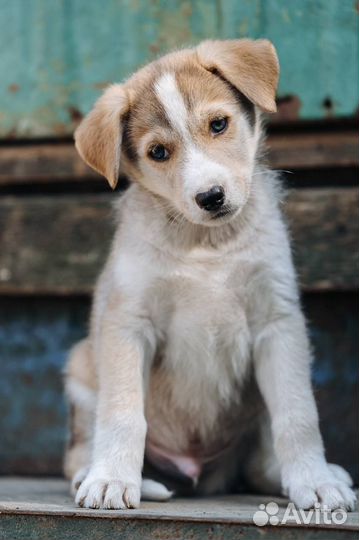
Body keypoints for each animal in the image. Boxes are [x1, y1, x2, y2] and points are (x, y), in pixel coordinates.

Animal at [63, 39, 356, 510]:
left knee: (258, 464)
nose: (211, 196)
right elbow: (124, 412)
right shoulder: (128, 323)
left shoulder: (278, 322)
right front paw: (111, 479)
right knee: (76, 456)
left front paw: (314, 481)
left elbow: (298, 414)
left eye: (218, 124)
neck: (207, 244)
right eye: (158, 152)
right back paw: (103, 475)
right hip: (80, 369)